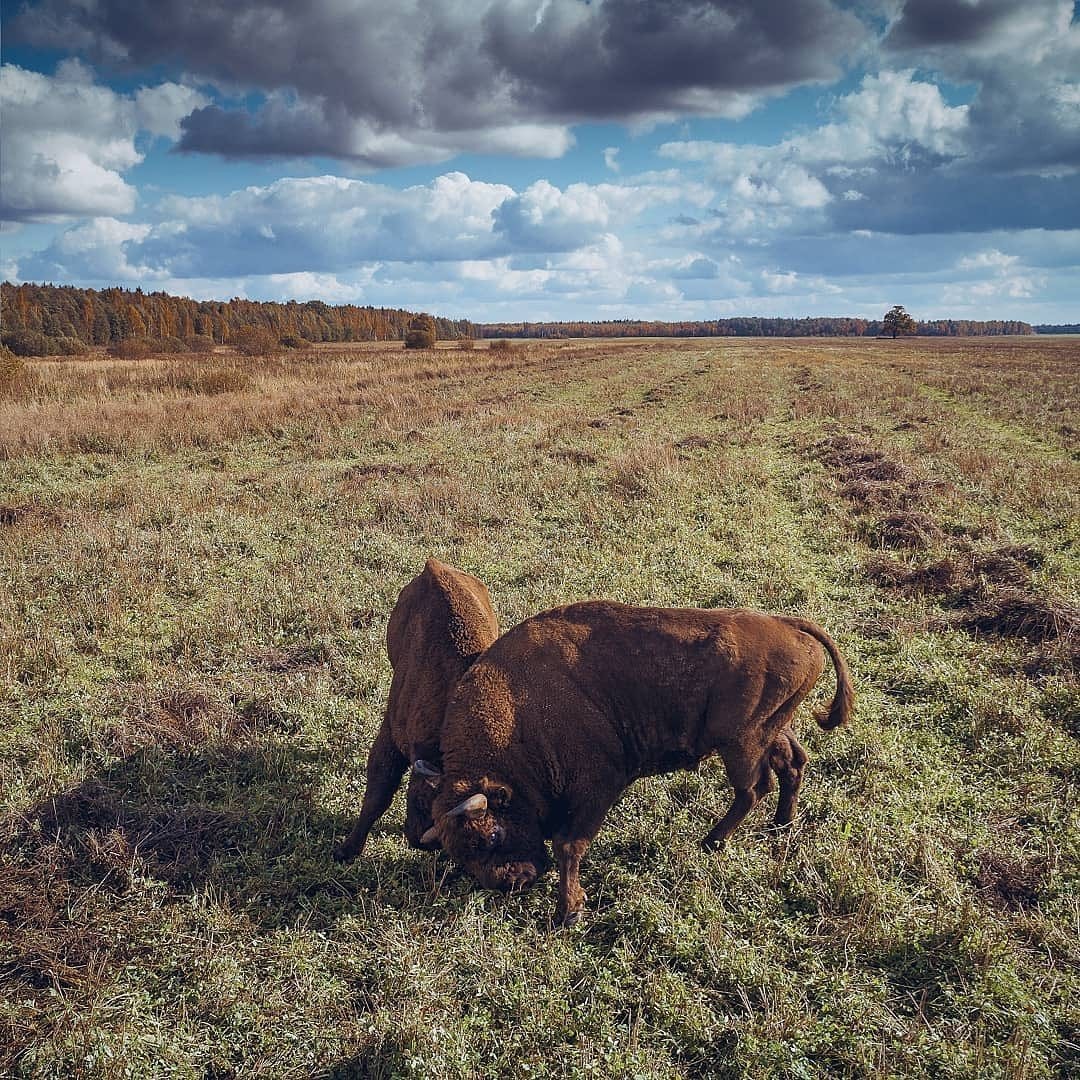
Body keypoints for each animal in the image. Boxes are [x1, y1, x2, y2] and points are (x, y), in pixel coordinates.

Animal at [332, 557, 496, 859]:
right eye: (427, 800)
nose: (420, 840)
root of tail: (434, 564)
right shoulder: (390, 733)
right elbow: (377, 796)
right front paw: (346, 851)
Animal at [421, 604, 851, 924]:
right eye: (459, 855)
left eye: (491, 835)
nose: (513, 882)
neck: (518, 712)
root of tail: (787, 624)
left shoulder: (598, 787)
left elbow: (568, 845)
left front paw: (568, 912)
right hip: (774, 729)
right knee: (791, 764)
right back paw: (781, 825)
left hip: (741, 745)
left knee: (754, 787)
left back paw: (712, 841)